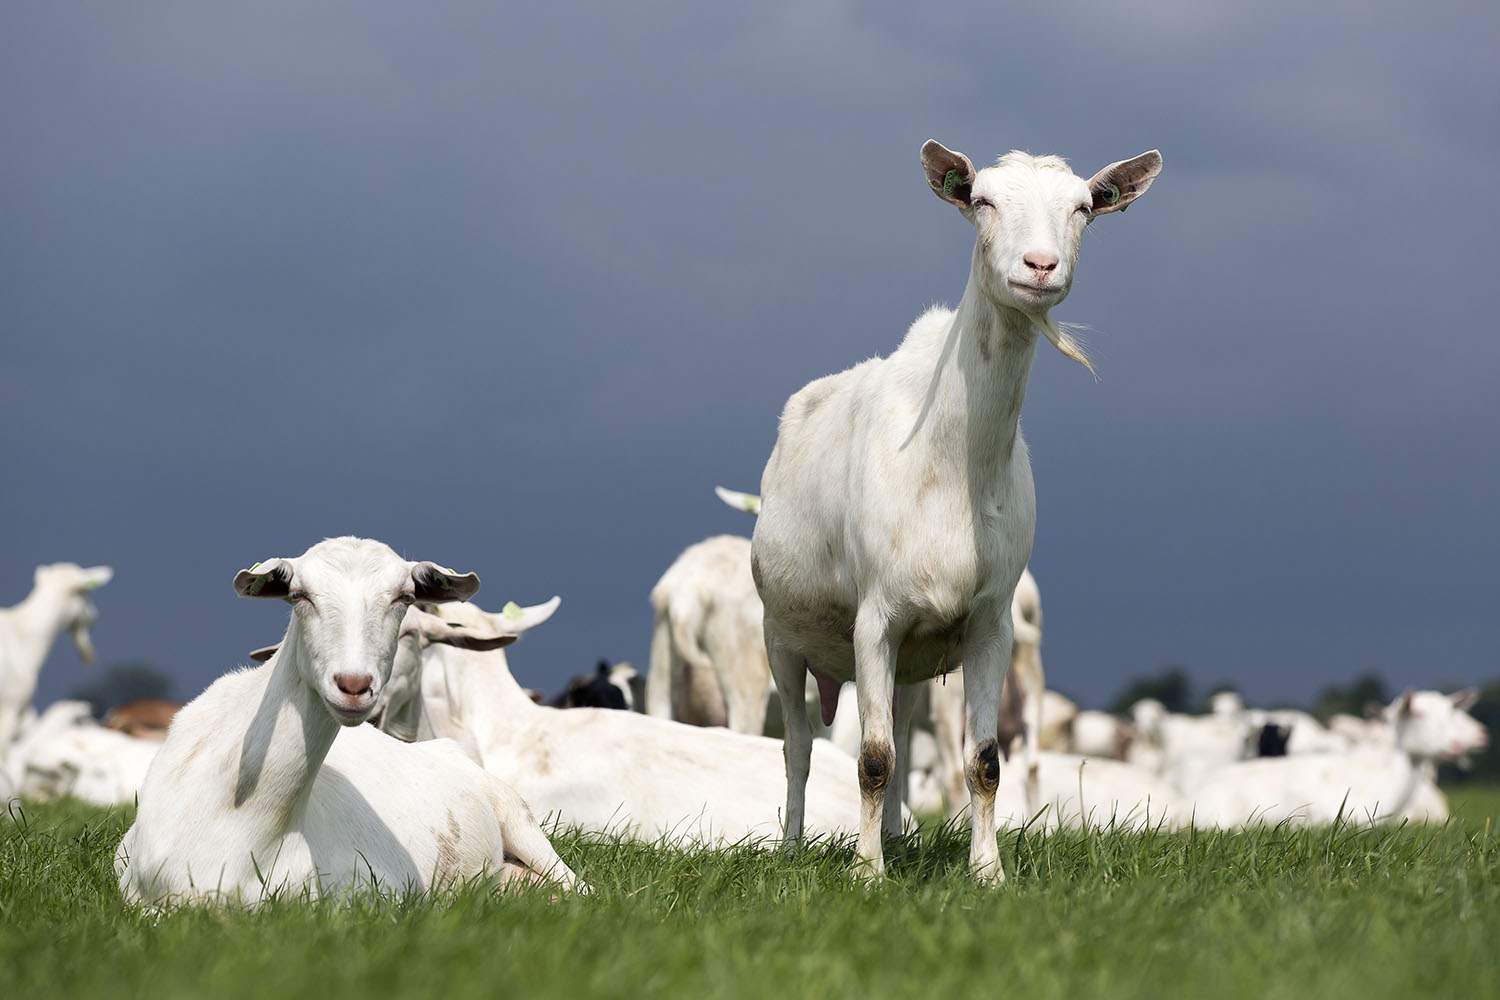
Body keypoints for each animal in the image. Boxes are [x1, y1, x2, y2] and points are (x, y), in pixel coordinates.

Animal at [750, 138, 1158, 875]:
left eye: (1083, 208)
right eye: (983, 200)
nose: (1040, 266)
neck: (952, 461)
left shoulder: (991, 621)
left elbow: (982, 760)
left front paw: (987, 872)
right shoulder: (874, 616)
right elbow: (871, 758)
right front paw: (866, 873)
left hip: (911, 658)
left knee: (904, 732)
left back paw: (899, 837)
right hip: (781, 633)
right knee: (797, 747)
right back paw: (794, 847)